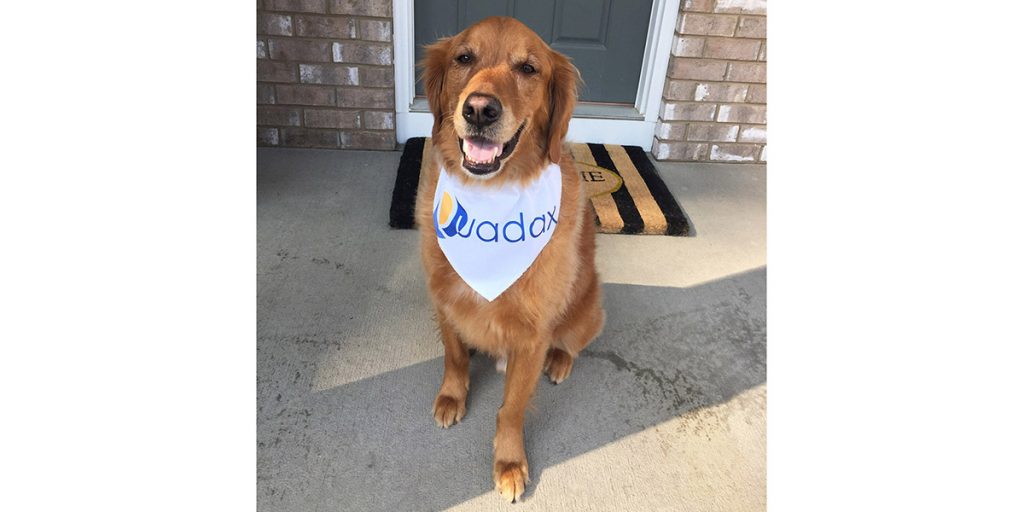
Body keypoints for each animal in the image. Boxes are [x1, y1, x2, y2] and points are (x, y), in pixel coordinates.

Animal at [415, 17, 602, 503]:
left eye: (528, 68)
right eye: (464, 58)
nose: (480, 110)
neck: (490, 195)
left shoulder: (532, 337)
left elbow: (511, 409)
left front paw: (509, 462)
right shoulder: (444, 297)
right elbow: (454, 356)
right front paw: (452, 396)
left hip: (587, 311)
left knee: (572, 342)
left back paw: (561, 362)